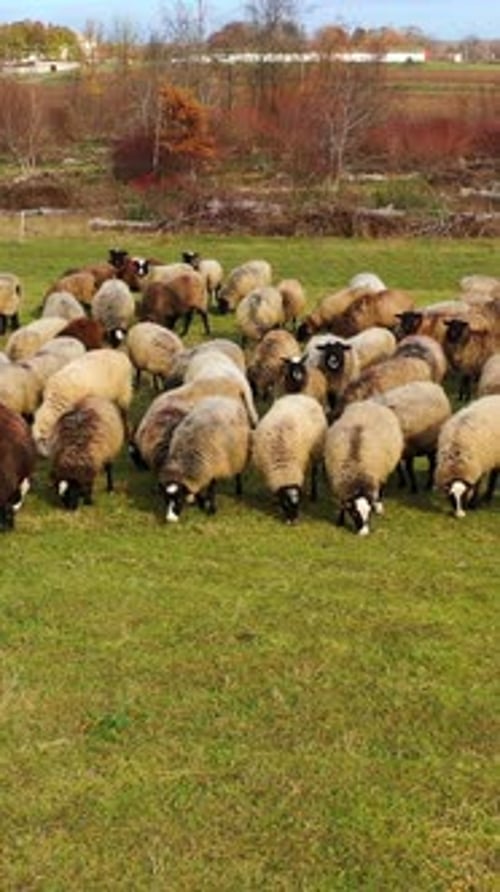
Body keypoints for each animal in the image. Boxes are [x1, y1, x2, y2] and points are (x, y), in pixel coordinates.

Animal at [251, 394, 327, 522]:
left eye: (299, 504)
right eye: (285, 504)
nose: (294, 522)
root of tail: (301, 395)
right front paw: (274, 501)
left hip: (316, 451)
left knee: (314, 473)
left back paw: (313, 494)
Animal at [324, 400, 404, 535]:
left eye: (369, 513)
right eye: (355, 514)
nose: (364, 534)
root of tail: (370, 403)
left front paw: (376, 507)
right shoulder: (341, 482)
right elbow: (342, 503)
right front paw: (340, 521)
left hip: (383, 469)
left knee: (382, 486)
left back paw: (379, 505)